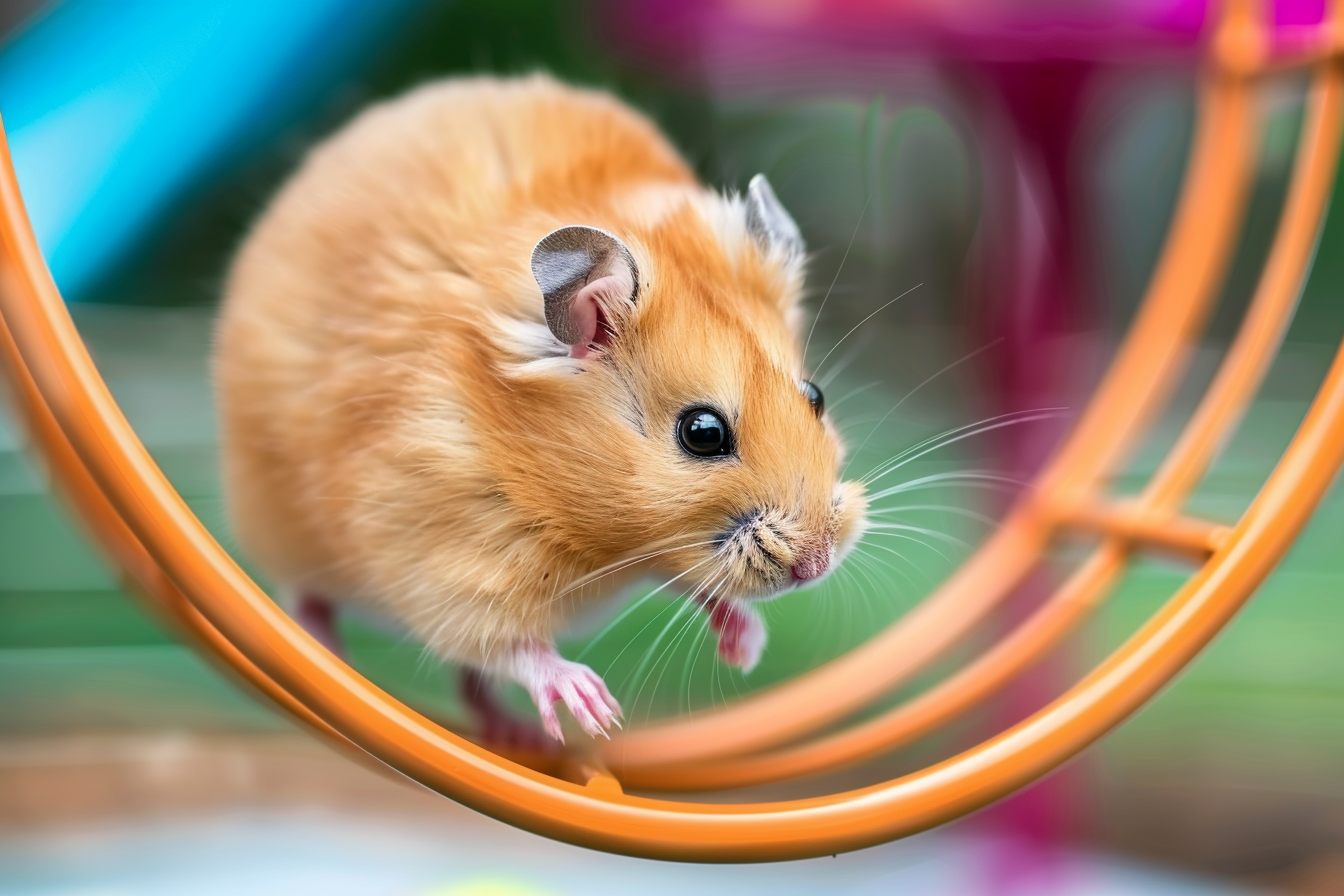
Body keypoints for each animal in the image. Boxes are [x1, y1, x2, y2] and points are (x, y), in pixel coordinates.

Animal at [214, 74, 867, 745]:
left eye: (815, 396)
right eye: (702, 432)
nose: (817, 566)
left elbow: (696, 583)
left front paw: (745, 648)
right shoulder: (435, 549)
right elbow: (506, 641)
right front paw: (597, 709)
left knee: (471, 684)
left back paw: (513, 733)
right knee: (311, 602)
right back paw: (334, 665)